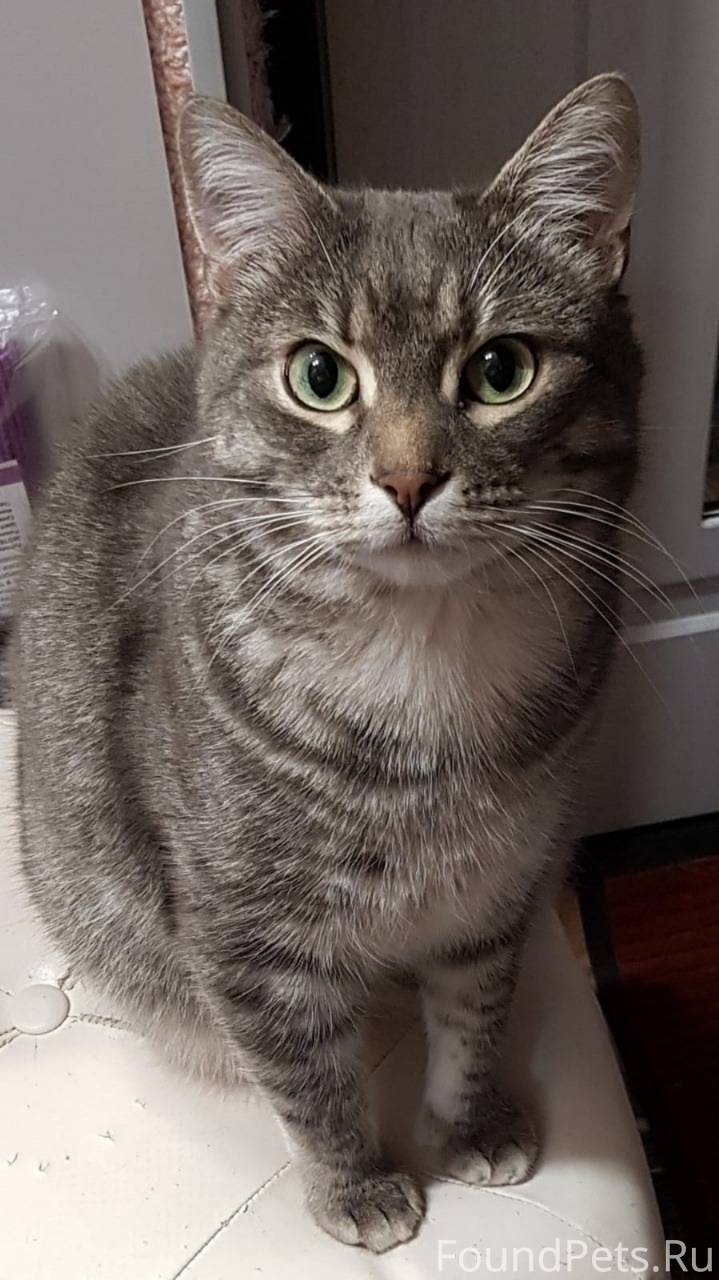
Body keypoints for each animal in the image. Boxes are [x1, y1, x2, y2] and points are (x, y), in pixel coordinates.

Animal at [15, 73, 641, 1251]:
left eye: (500, 371)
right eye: (319, 376)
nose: (406, 479)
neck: (423, 659)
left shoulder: (495, 887)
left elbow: (474, 1009)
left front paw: (470, 1121)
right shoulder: (242, 928)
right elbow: (306, 1075)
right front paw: (356, 1184)